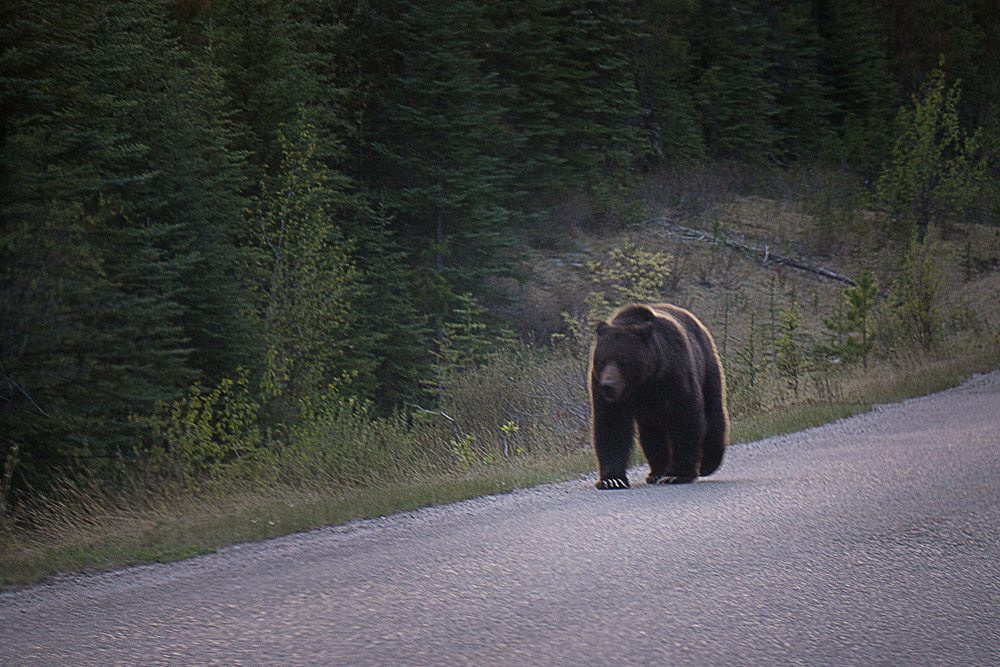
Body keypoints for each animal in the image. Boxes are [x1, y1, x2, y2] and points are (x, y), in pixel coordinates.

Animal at [589, 303, 728, 489]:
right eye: (601, 361)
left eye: (623, 361)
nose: (608, 386)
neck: (645, 381)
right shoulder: (604, 389)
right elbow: (611, 425)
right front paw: (612, 479)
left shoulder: (674, 373)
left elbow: (685, 417)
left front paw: (677, 474)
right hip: (650, 412)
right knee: (652, 434)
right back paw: (657, 472)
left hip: (707, 365)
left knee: (713, 411)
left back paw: (708, 463)